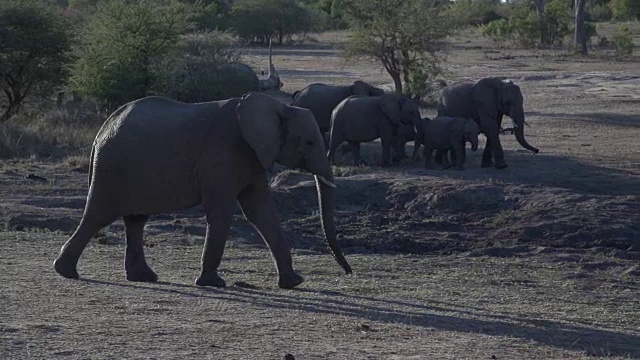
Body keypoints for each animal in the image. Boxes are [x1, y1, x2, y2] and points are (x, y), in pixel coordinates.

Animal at [52, 92, 352, 290]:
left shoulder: (253, 156)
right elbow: (222, 210)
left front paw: (293, 282)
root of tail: (101, 130)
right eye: (310, 142)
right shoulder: (222, 153)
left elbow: (260, 212)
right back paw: (66, 272)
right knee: (98, 216)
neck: (278, 107)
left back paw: (144, 277)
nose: (348, 272)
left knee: (135, 221)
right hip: (111, 168)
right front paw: (213, 283)